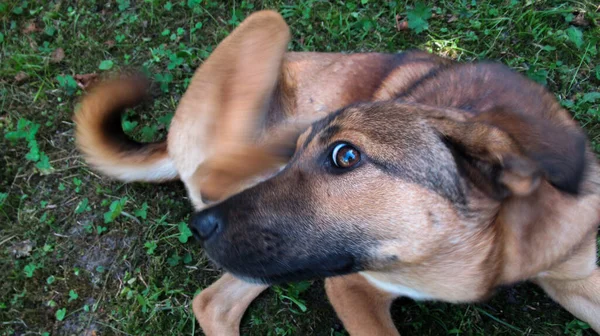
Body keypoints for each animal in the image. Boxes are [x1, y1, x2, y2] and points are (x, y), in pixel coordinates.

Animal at [75, 10, 600, 336]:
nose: (201, 228)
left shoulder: (577, 270)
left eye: (346, 156)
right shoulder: (353, 286)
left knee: (214, 301)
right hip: (266, 28)